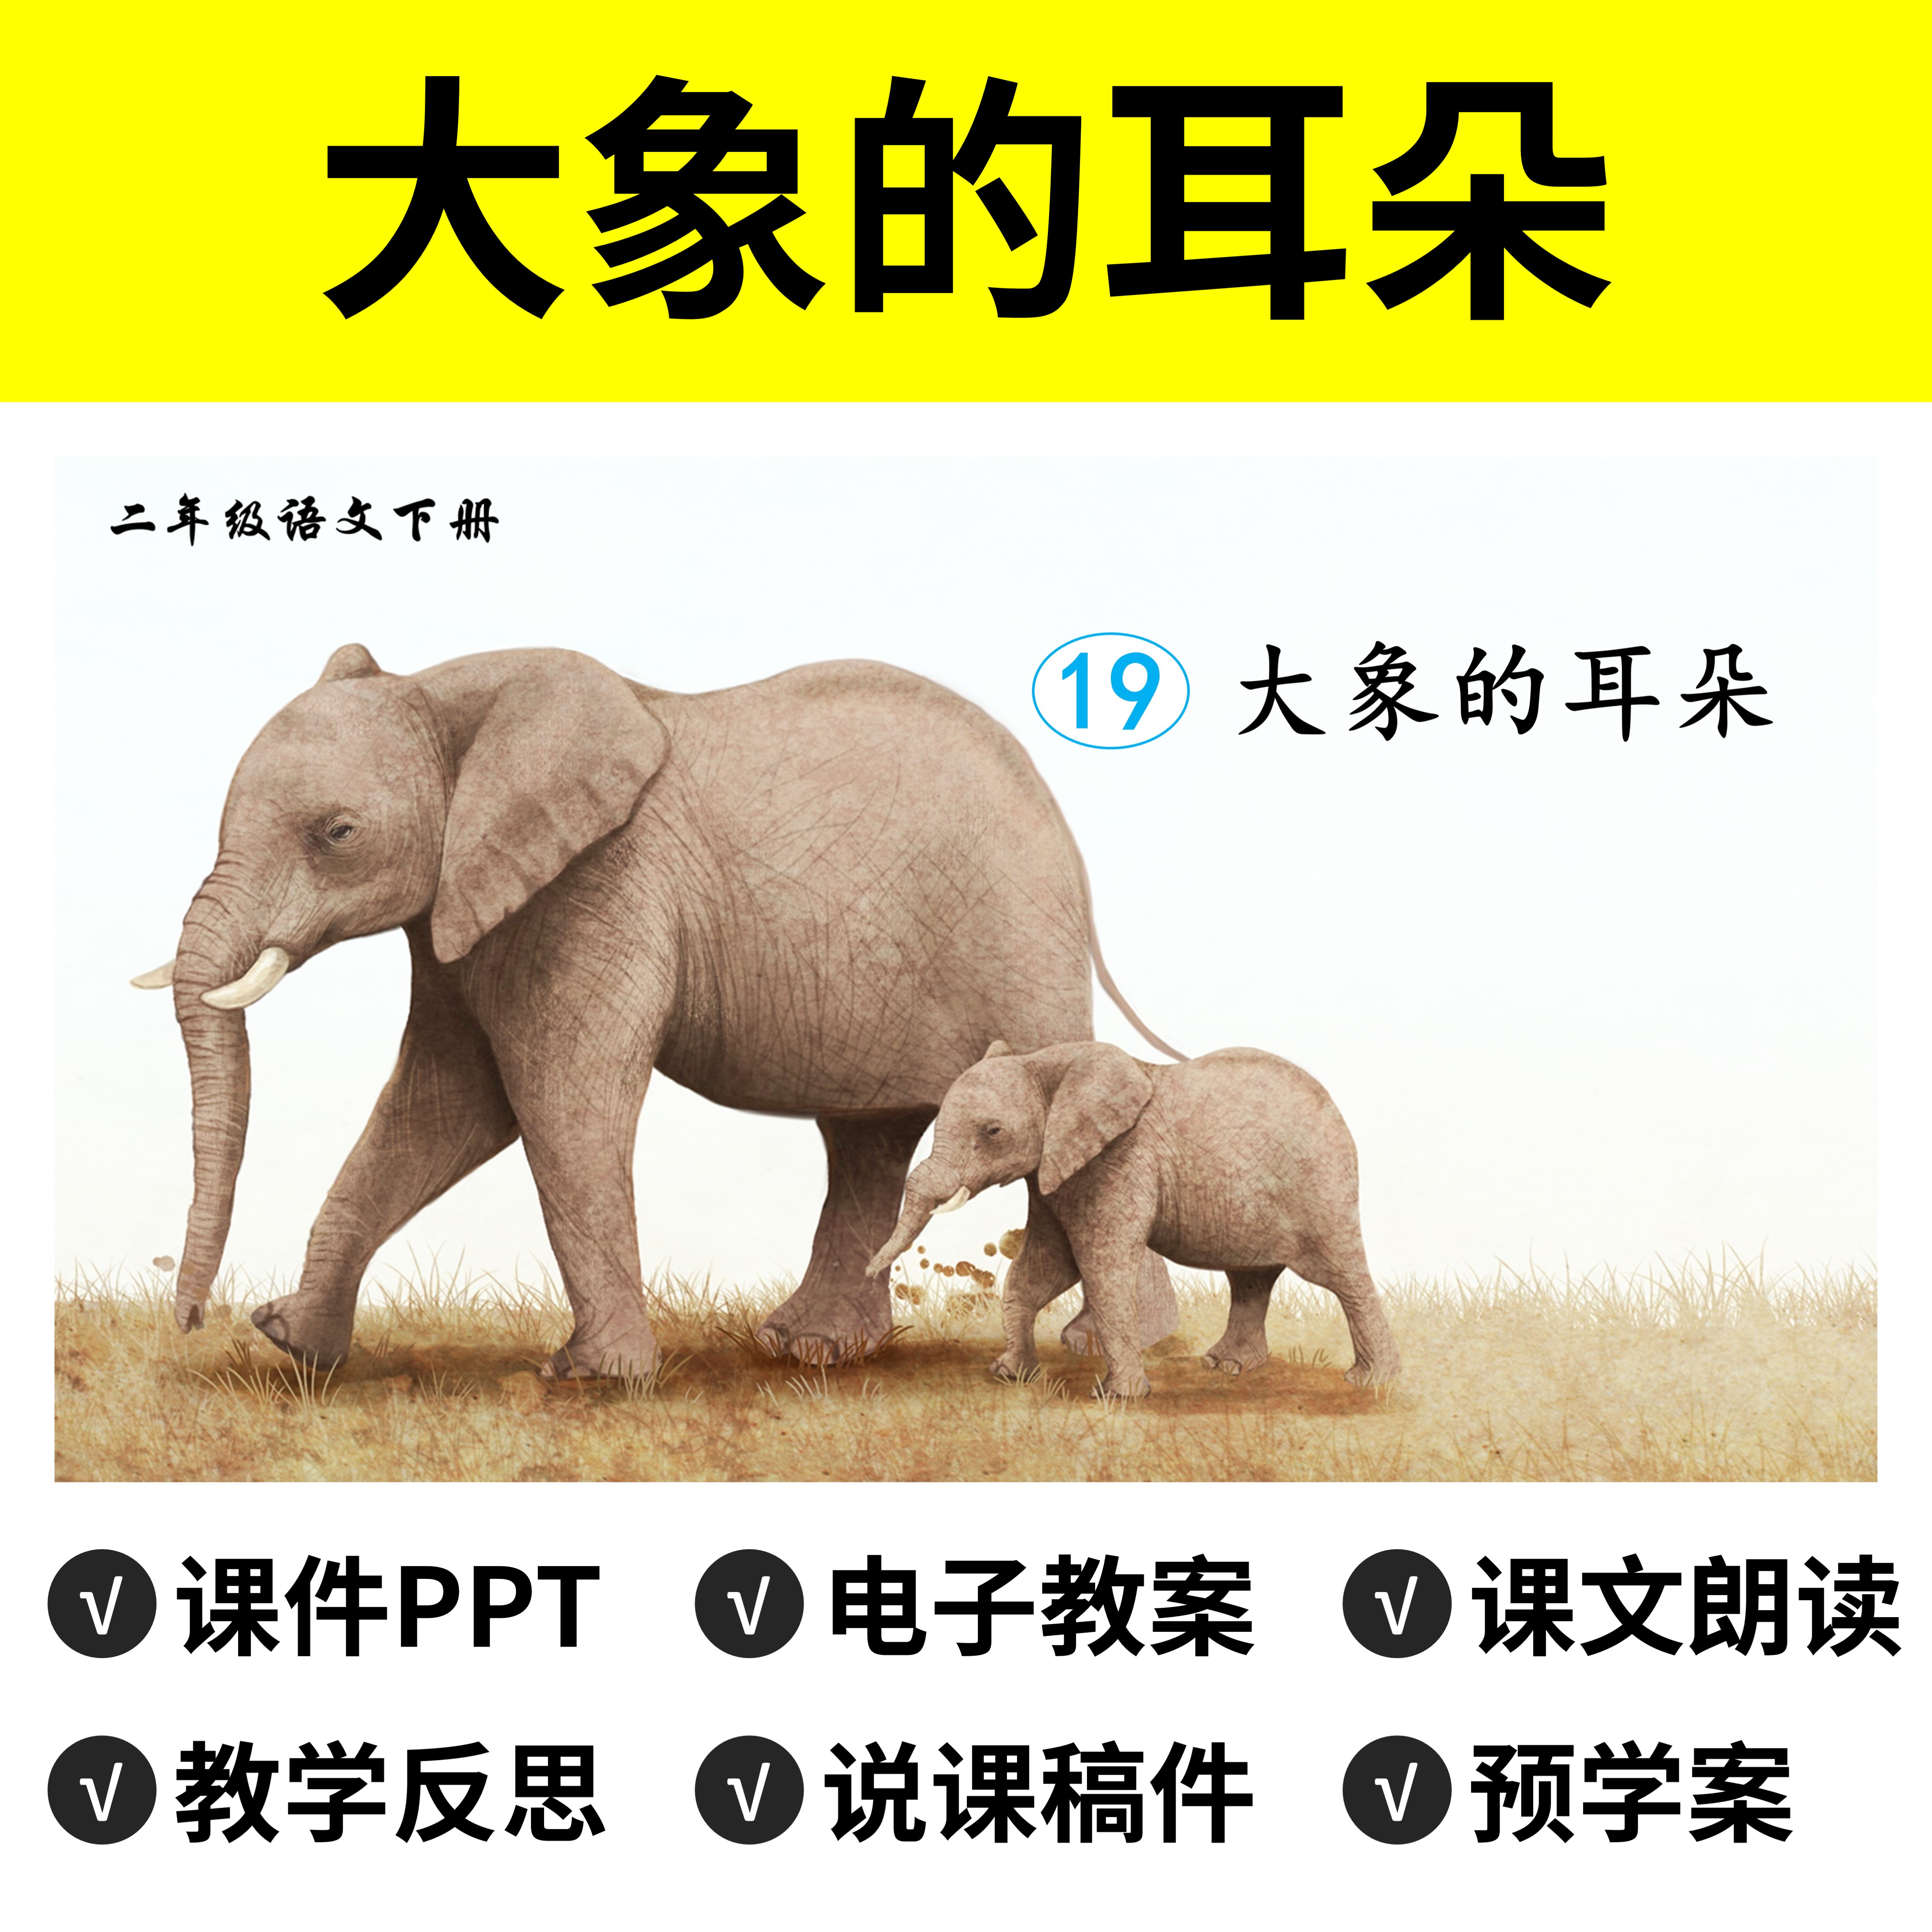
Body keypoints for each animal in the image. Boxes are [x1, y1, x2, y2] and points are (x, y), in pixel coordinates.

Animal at [131, 645, 1186, 1379]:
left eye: (338, 834)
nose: (188, 1320)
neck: (448, 690)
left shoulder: (602, 883)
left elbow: (555, 1101)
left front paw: (590, 1376)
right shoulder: (470, 907)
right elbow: (443, 1105)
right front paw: (291, 1342)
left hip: (1017, 938)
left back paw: (1109, 1342)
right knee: (867, 1137)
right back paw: (809, 1350)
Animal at [866, 1039, 1401, 1397]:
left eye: (992, 1131)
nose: (871, 1272)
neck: (1049, 1062)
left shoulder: (1119, 1161)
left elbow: (1101, 1267)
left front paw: (1116, 1397)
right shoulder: (1055, 1175)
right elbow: (1041, 1267)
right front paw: (1010, 1375)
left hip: (1320, 1188)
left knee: (1341, 1275)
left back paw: (1371, 1381)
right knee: (1250, 1278)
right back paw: (1225, 1367)